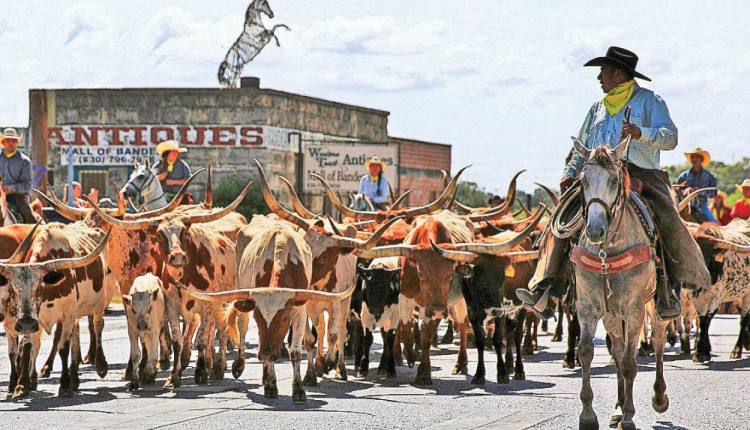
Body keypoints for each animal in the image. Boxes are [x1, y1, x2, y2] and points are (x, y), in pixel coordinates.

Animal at [572, 137, 672, 430]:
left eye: (615, 180)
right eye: (583, 180)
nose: (595, 230)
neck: (607, 251)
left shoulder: (635, 308)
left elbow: (629, 362)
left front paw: (629, 415)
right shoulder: (587, 306)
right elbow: (586, 352)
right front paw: (588, 414)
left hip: (655, 306)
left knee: (658, 341)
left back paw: (658, 397)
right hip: (612, 314)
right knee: (616, 348)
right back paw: (617, 407)